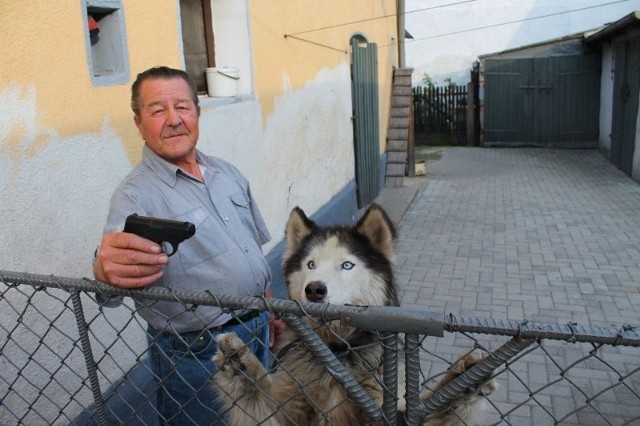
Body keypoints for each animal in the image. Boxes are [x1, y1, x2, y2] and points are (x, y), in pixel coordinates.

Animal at [212, 205, 498, 424]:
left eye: (347, 265)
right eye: (310, 264)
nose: (314, 290)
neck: (336, 349)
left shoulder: (388, 408)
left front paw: (463, 379)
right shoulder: (291, 405)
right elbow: (260, 393)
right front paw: (240, 364)